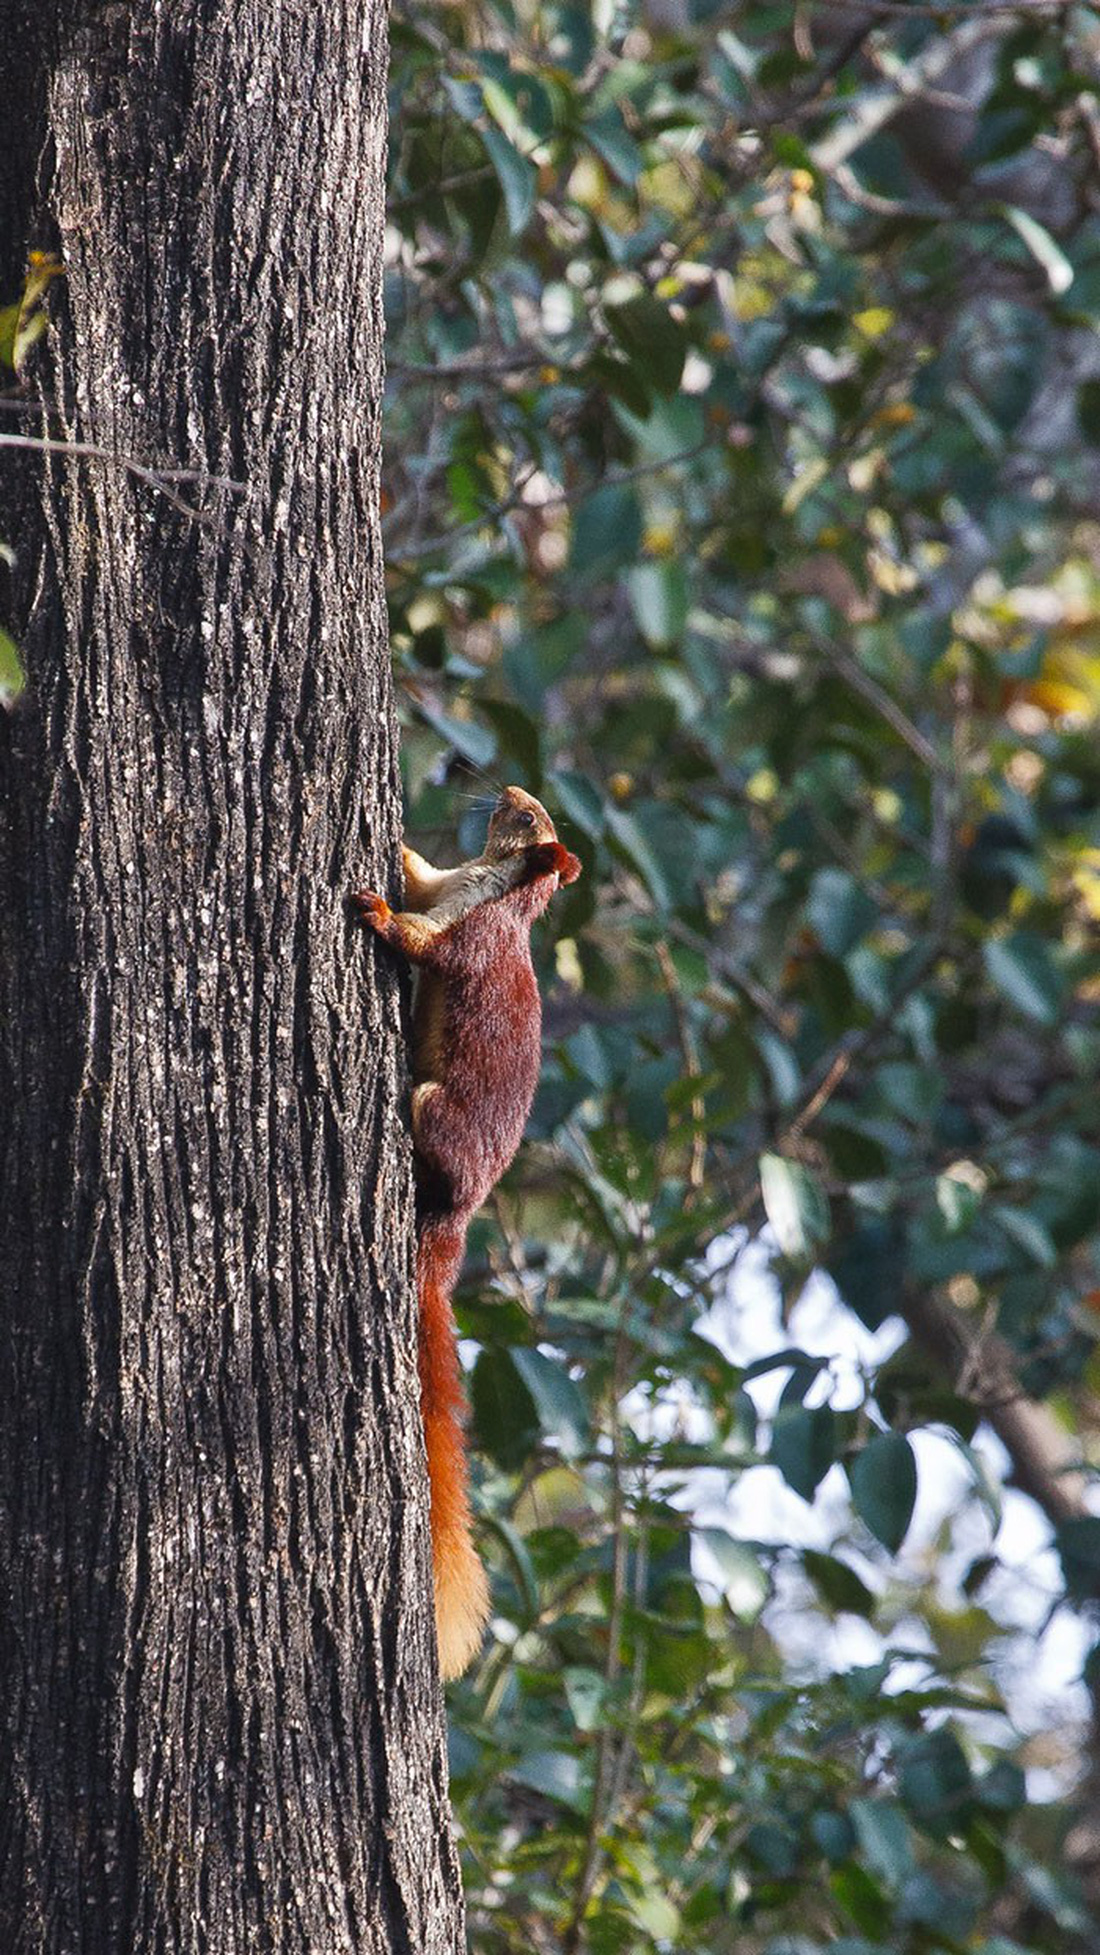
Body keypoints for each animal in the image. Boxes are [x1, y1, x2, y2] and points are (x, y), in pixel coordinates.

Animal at [353, 785, 582, 1673]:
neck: (488, 884)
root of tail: (452, 1227)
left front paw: (378, 911)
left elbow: (425, 942)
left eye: (534, 823)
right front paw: (401, 846)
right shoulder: (447, 884)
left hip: (435, 1116)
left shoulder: (472, 940)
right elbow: (421, 874)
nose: (513, 792)